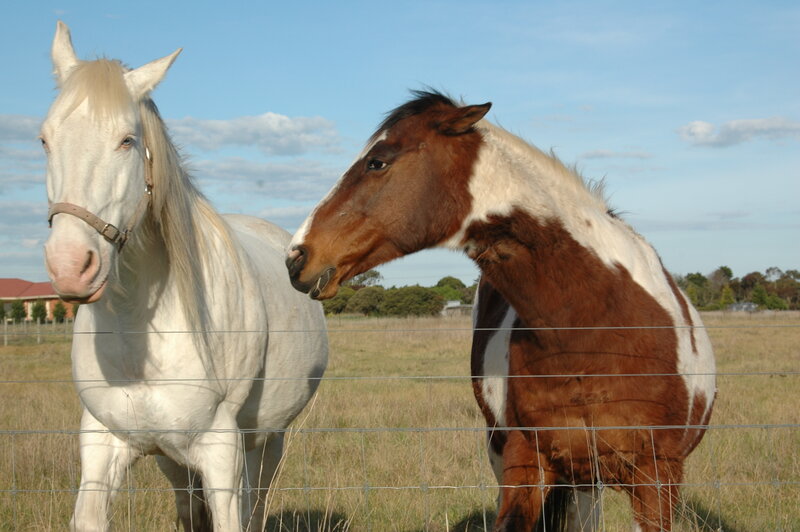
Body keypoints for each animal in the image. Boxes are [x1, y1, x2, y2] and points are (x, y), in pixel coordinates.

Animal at [42, 22, 328, 531]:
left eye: (127, 140)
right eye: (44, 139)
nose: (71, 266)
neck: (143, 330)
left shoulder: (220, 451)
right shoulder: (104, 443)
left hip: (265, 441)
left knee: (257, 502)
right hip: (171, 457)